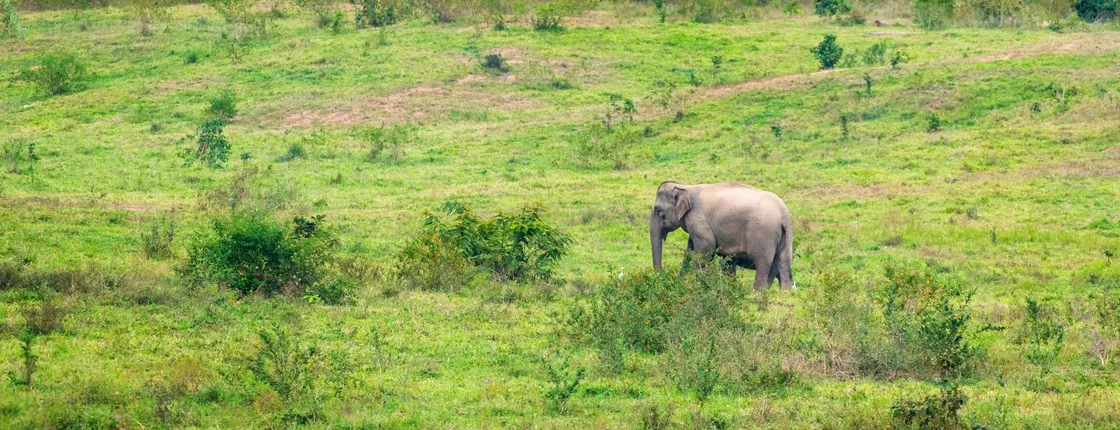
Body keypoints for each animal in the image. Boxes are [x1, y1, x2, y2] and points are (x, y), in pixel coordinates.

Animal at [649, 181, 794, 291]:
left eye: (658, 210)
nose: (661, 279)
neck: (685, 187)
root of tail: (783, 212)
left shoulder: (698, 218)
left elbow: (707, 247)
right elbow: (691, 250)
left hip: (763, 233)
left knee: (763, 262)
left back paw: (756, 294)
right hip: (784, 237)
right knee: (783, 262)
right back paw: (785, 294)